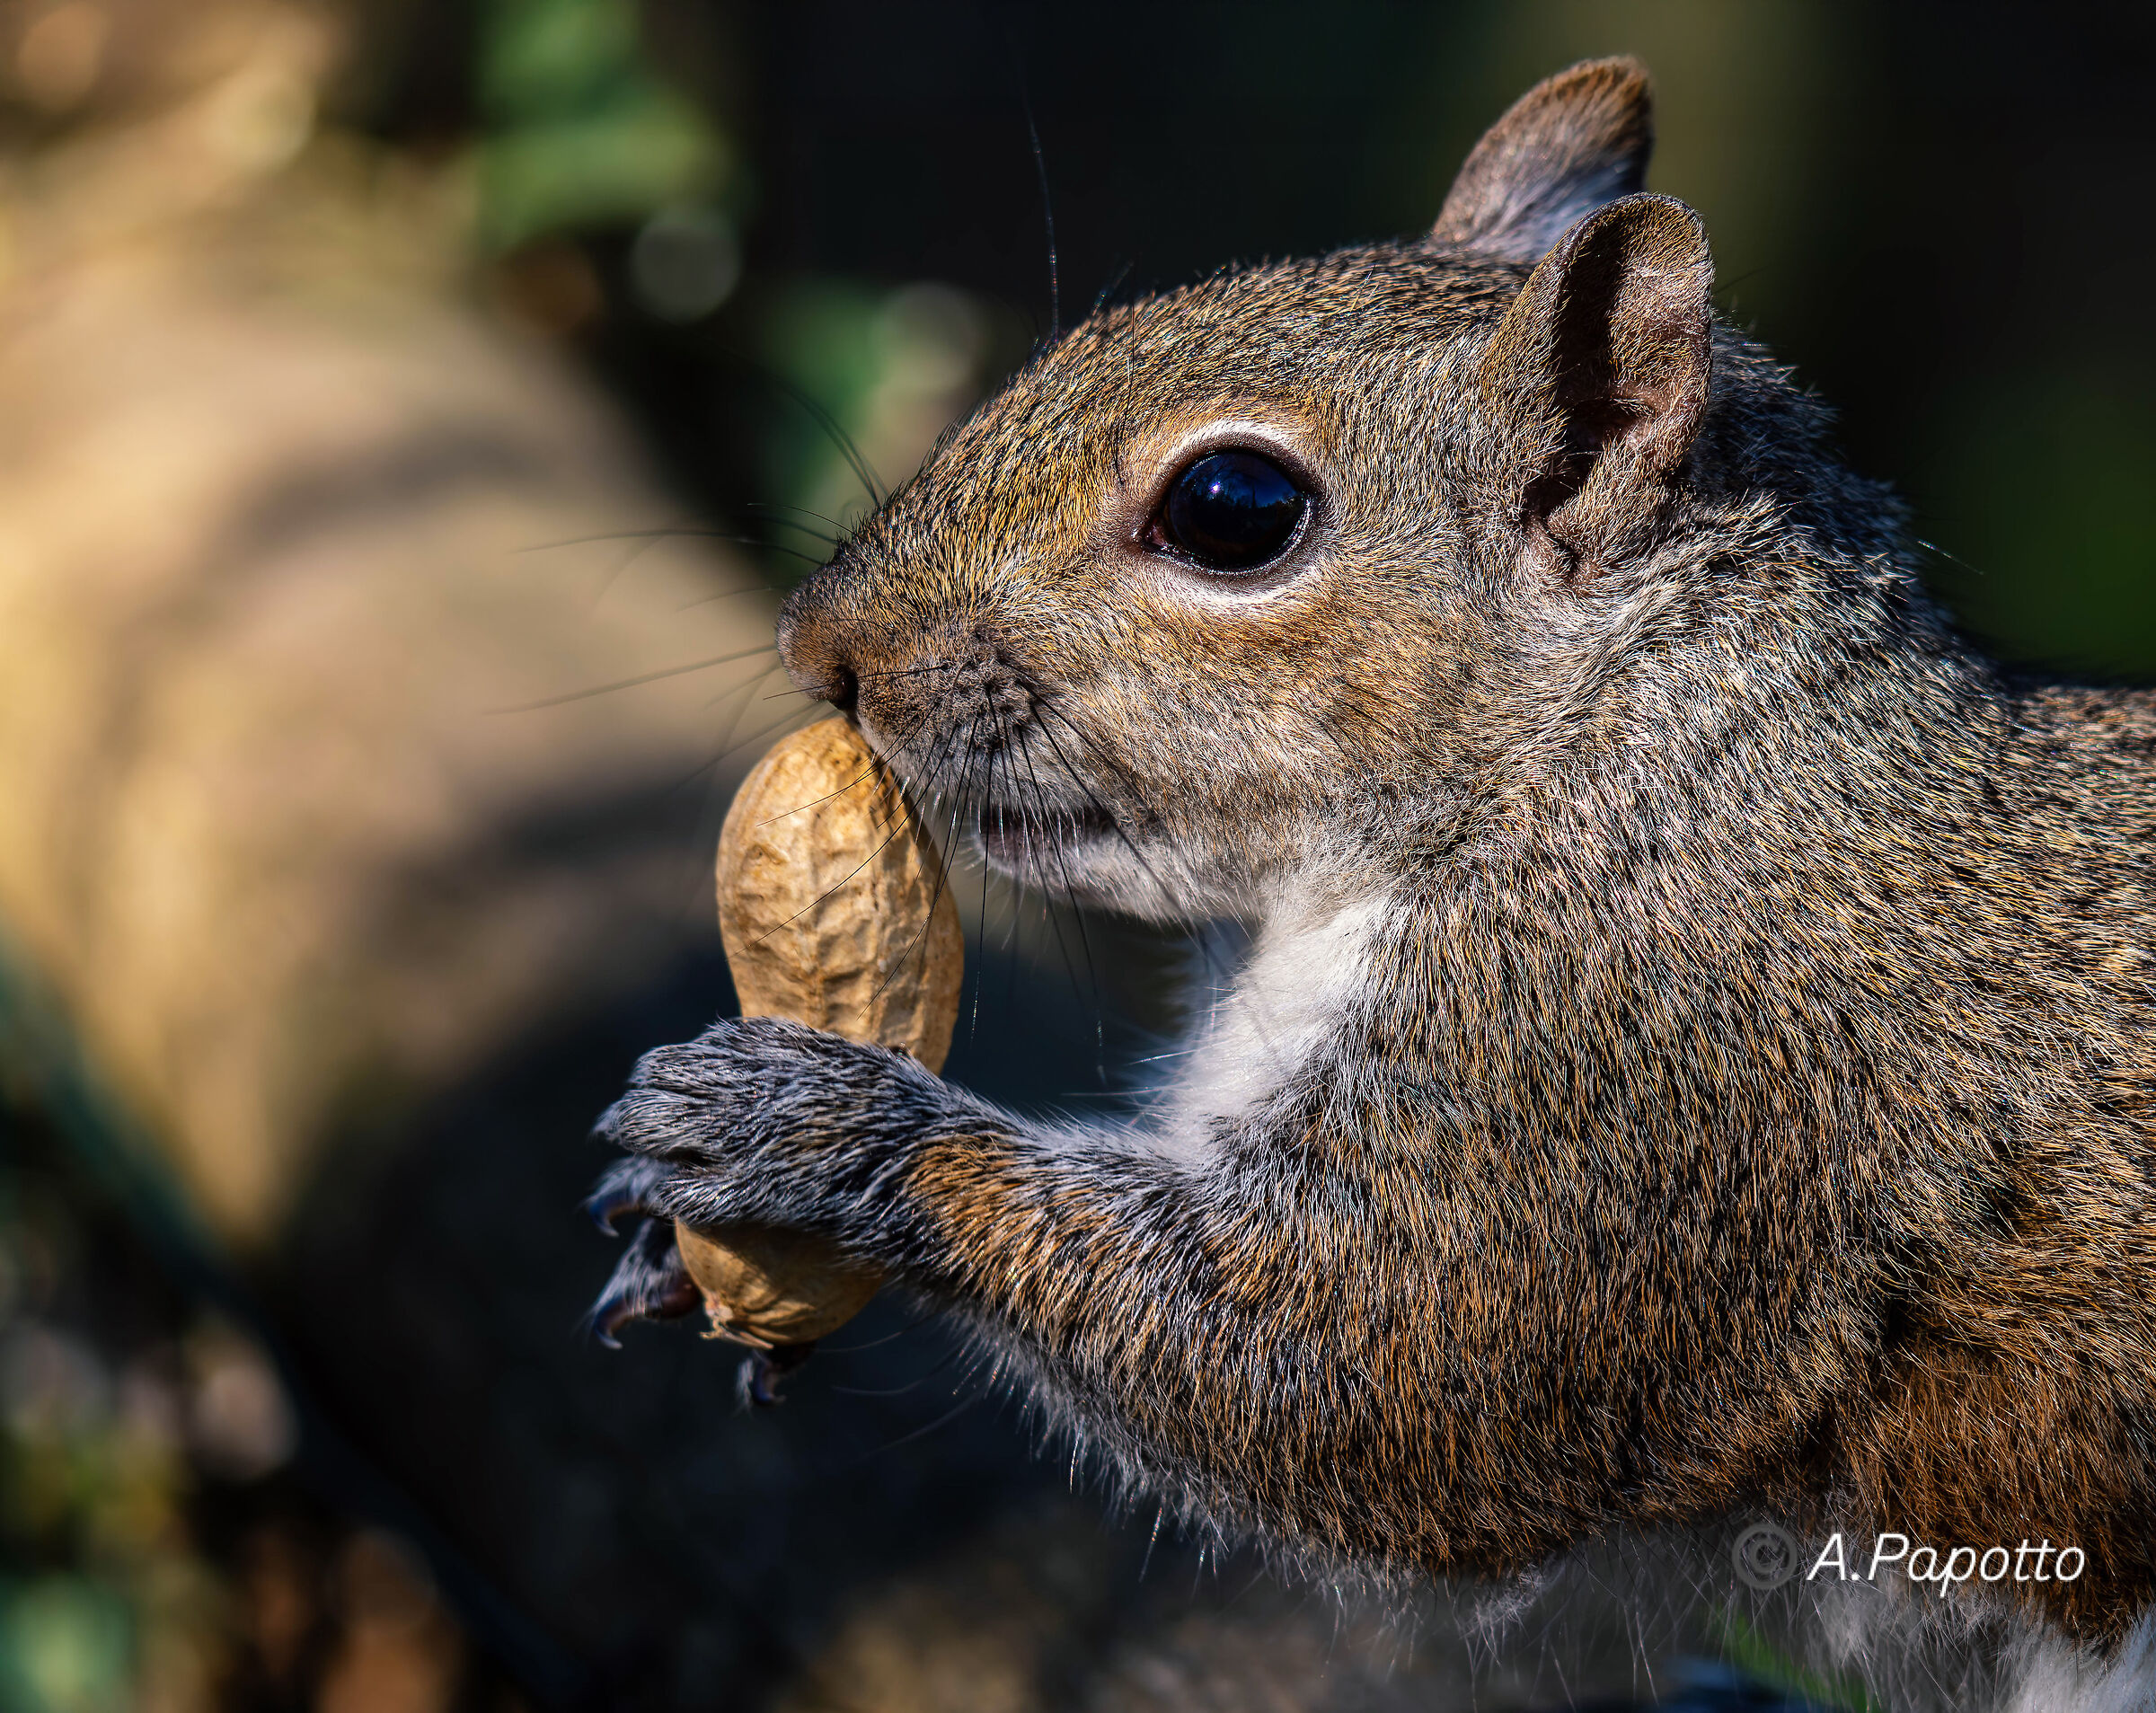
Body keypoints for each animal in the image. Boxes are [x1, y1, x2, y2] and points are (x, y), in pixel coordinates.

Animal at [587, 58, 2156, 1706]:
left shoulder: (1616, 1082)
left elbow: (1357, 1379)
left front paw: (815, 1129)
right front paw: (662, 1233)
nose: (821, 644)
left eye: (1232, 506)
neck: (1608, 762)